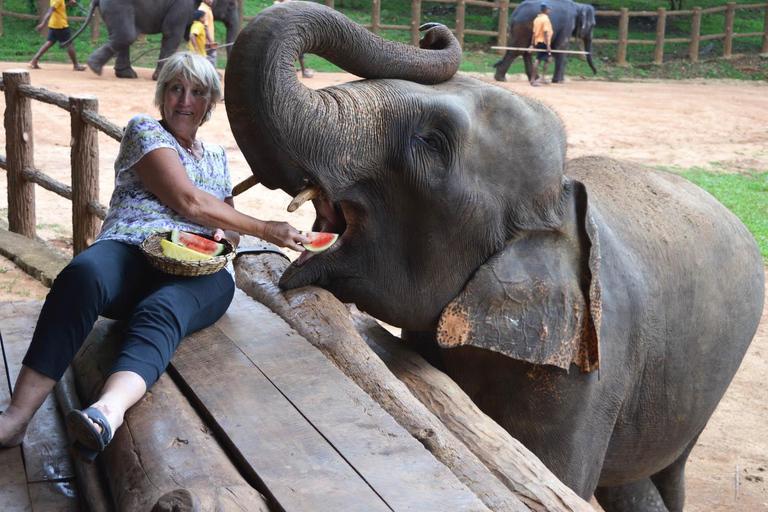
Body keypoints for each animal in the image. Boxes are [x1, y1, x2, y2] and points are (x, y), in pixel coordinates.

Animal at [67, 0, 238, 79]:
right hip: (118, 6)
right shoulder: (182, 4)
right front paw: (160, 77)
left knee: (122, 36)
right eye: (231, 5)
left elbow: (187, 33)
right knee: (127, 35)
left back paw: (126, 74)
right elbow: (172, 33)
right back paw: (94, 66)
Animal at [225, 5, 764, 512]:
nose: (429, 30)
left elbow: (554, 475)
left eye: (431, 142)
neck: (559, 204)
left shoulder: (585, 370)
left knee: (670, 473)